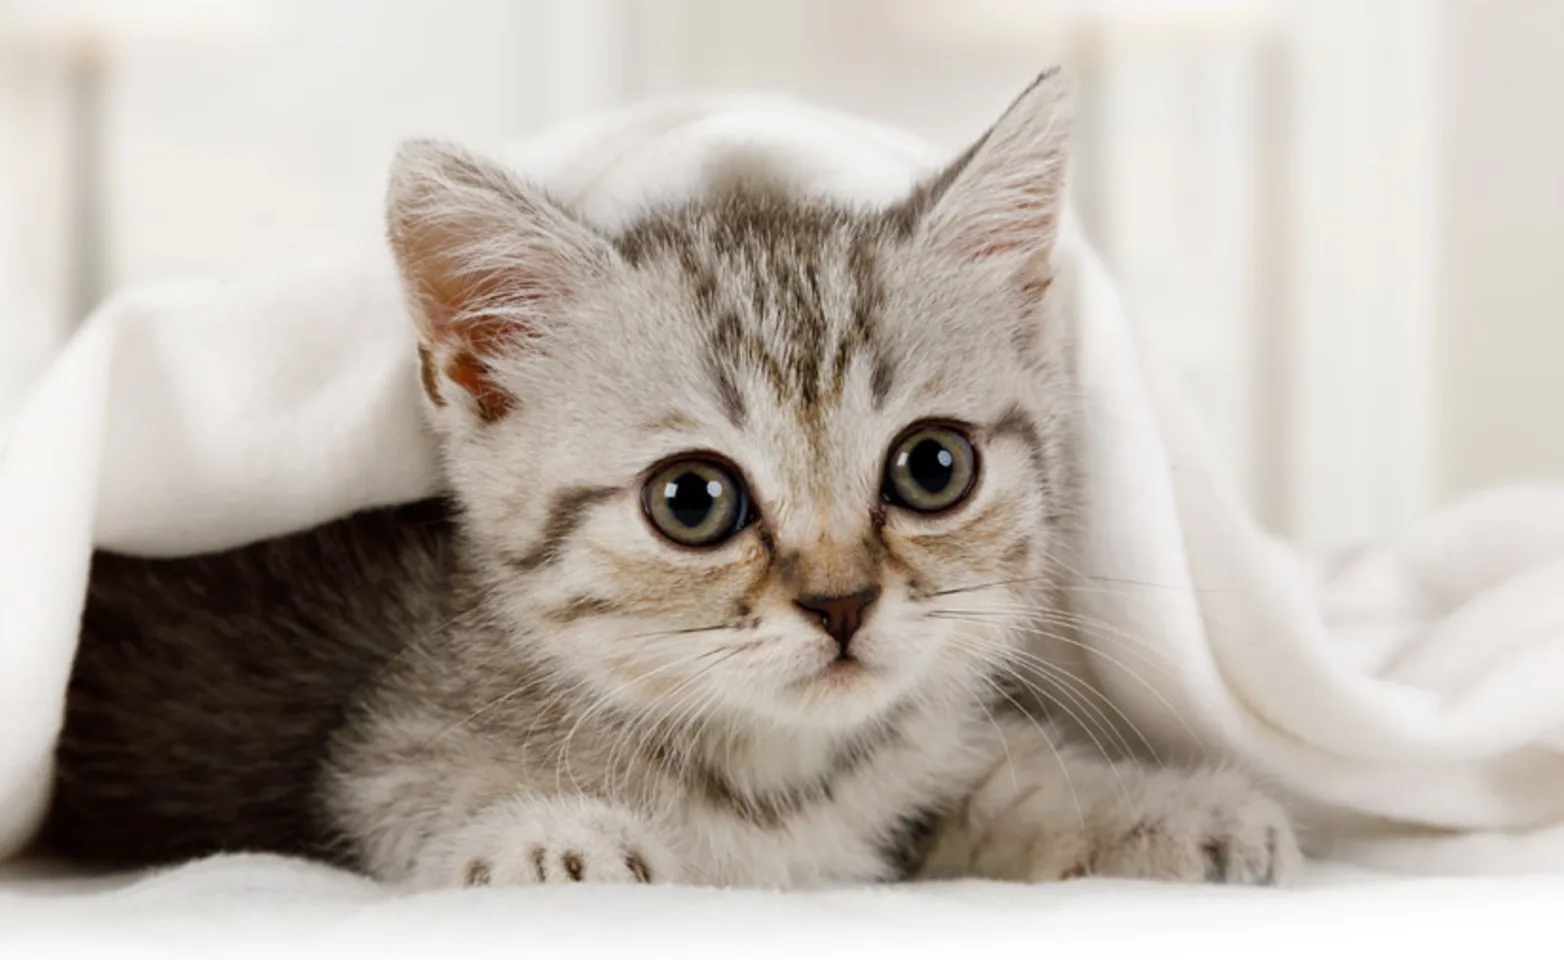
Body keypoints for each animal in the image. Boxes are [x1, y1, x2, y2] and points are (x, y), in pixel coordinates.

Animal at [42, 71, 1301, 894]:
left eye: (933, 468)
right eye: (692, 501)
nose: (842, 603)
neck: (765, 778)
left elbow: (991, 778)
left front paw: (1166, 808)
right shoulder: (384, 742)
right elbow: (417, 791)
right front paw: (551, 842)